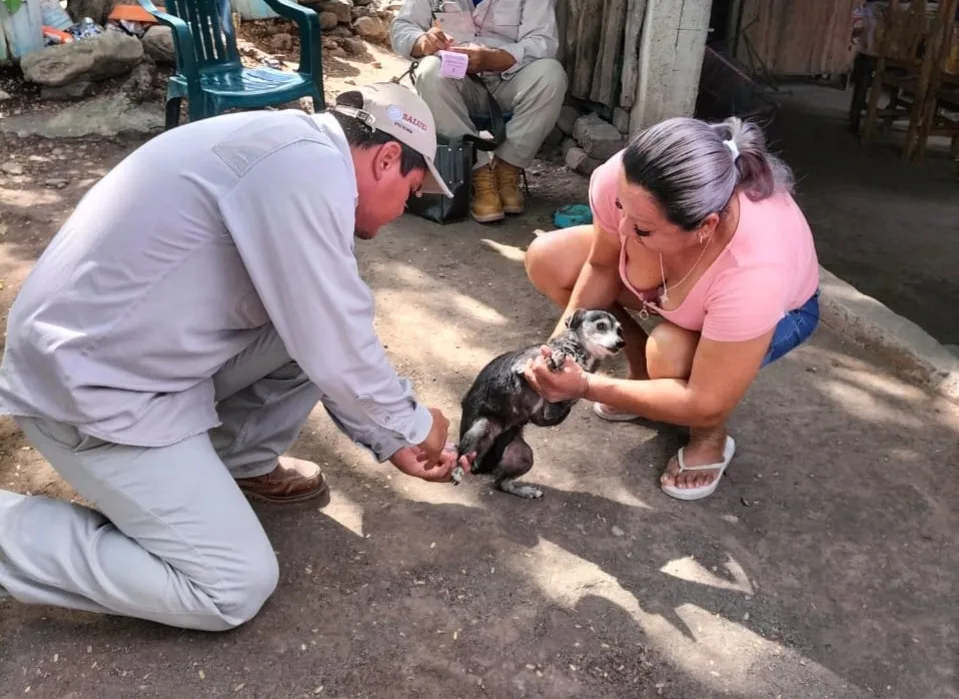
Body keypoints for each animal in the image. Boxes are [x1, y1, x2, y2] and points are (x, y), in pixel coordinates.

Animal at [450, 308, 625, 499]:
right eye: (601, 326)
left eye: (619, 330)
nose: (621, 343)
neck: (574, 348)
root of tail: (482, 465)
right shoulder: (523, 366)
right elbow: (536, 363)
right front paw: (555, 359)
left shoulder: (545, 414)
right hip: (481, 427)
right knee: (462, 457)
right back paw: (458, 470)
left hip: (523, 456)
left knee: (499, 483)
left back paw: (523, 491)